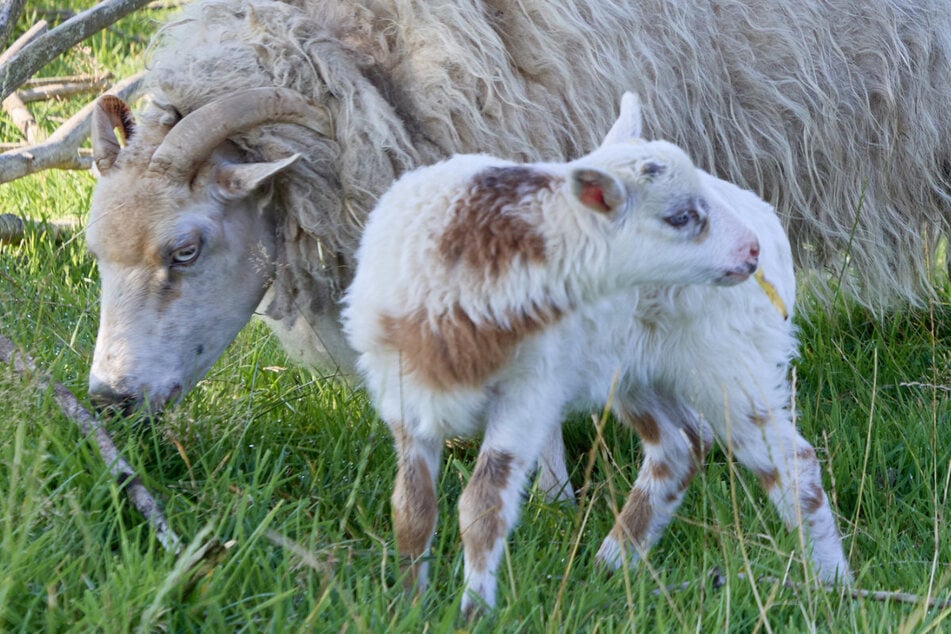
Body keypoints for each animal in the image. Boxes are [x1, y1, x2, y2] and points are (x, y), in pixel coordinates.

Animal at [340, 94, 848, 612]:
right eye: (680, 216)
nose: (750, 251)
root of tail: (769, 223)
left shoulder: (528, 395)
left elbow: (483, 504)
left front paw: (473, 611)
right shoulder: (404, 397)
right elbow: (411, 508)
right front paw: (407, 604)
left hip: (726, 361)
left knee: (792, 463)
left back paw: (832, 584)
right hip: (635, 371)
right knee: (679, 448)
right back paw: (612, 565)